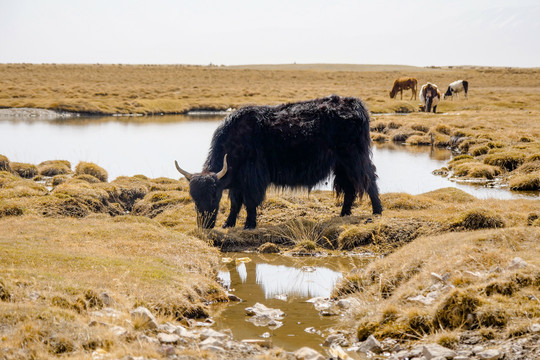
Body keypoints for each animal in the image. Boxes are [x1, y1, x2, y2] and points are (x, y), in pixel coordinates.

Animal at [175, 94, 382, 229]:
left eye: (213, 196)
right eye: (194, 198)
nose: (204, 226)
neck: (235, 142)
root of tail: (356, 105)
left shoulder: (252, 178)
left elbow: (249, 202)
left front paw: (249, 225)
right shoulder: (238, 181)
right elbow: (235, 203)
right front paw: (228, 224)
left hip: (354, 158)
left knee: (369, 179)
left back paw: (377, 211)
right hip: (341, 164)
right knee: (350, 188)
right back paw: (344, 214)